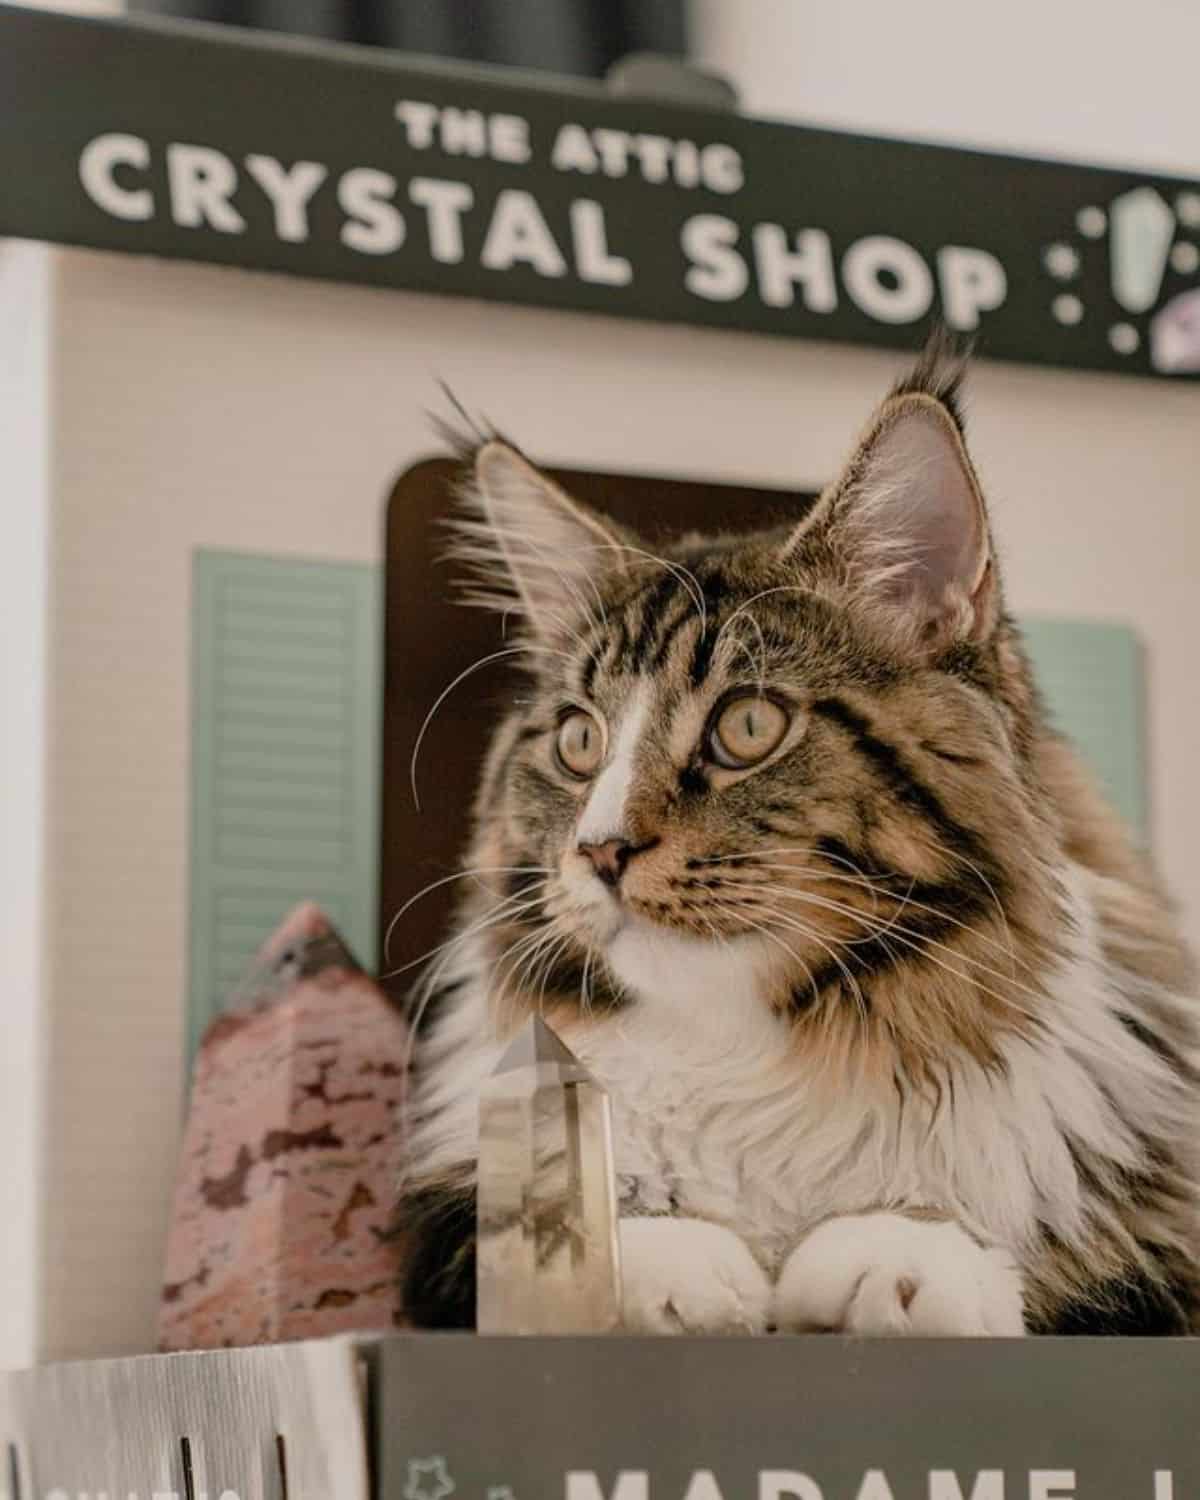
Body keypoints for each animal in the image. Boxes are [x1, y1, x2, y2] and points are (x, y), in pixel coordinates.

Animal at [396, 343, 1200, 1338]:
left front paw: (902, 1255)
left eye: (747, 726)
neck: (740, 1053)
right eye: (579, 742)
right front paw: (661, 1265)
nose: (601, 850)